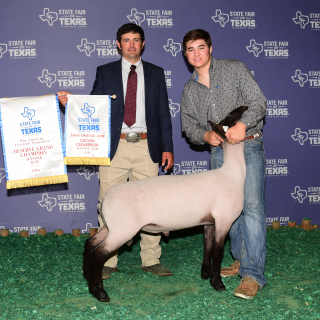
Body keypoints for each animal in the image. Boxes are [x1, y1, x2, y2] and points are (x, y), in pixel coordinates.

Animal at [82, 105, 248, 302]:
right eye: (232, 118)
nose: (245, 107)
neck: (233, 173)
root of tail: (106, 198)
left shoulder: (209, 222)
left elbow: (207, 247)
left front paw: (205, 275)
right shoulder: (224, 220)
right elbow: (218, 251)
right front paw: (218, 283)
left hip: (110, 227)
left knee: (90, 244)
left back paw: (89, 284)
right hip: (122, 230)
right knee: (99, 254)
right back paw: (101, 293)